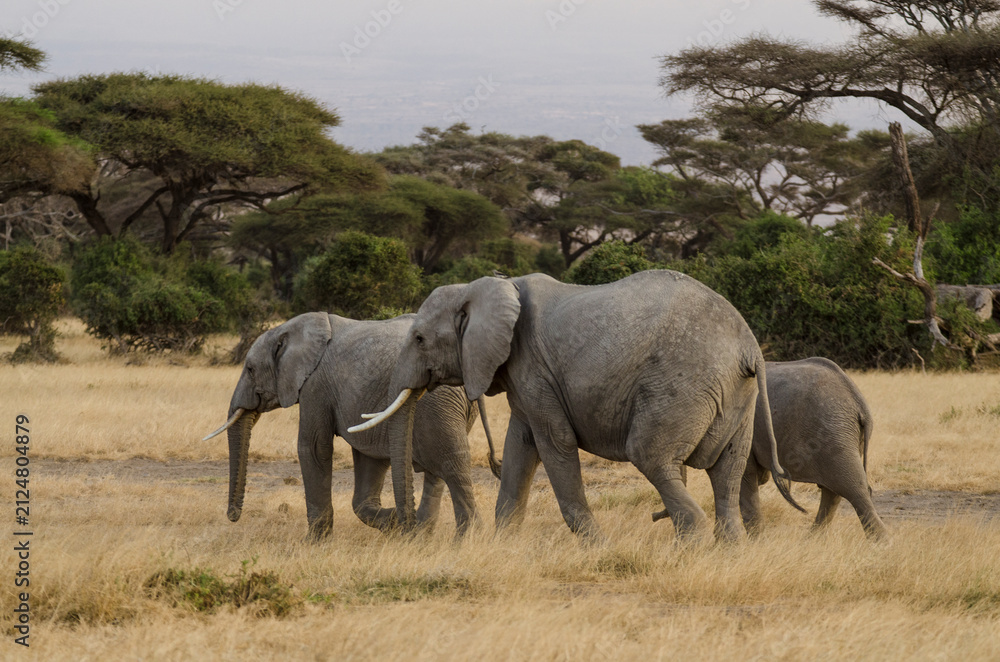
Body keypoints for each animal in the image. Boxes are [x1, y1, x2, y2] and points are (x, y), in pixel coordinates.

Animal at [203, 312, 499, 540]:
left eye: (250, 369)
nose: (232, 515)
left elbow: (313, 448)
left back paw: (465, 538)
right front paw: (395, 522)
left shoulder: (315, 386)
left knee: (452, 464)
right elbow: (368, 459)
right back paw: (422, 533)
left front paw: (314, 543)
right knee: (437, 470)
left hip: (438, 404)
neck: (290, 328)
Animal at [351, 272, 803, 543]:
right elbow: (521, 446)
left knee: (651, 456)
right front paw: (502, 544)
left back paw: (689, 548)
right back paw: (729, 552)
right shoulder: (524, 377)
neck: (490, 286)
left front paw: (596, 546)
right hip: (737, 397)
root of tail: (749, 347)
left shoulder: (533, 367)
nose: (404, 526)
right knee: (728, 472)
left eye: (420, 339)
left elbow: (555, 444)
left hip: (685, 384)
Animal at [739, 357, 888, 540]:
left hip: (832, 432)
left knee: (852, 489)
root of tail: (860, 403)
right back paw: (812, 539)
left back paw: (881, 542)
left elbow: (745, 476)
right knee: (834, 491)